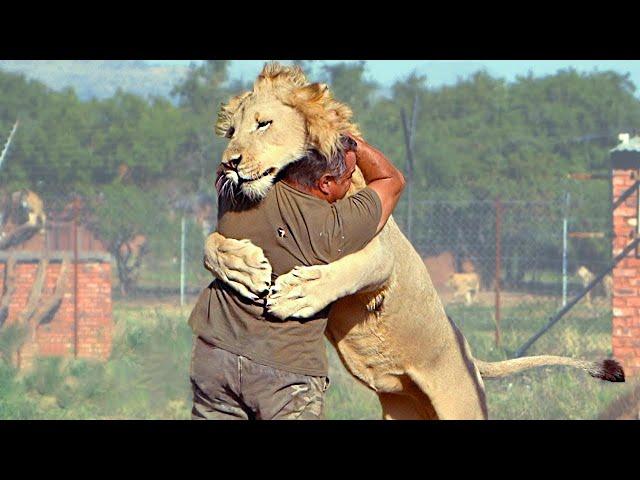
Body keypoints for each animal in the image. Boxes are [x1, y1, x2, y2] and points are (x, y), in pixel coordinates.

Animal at [204, 62, 624, 420]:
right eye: (231, 132)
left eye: (263, 124)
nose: (228, 164)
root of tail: (469, 353)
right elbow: (211, 243)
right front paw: (241, 268)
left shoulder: (377, 248)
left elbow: (348, 271)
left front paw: (298, 293)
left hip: (462, 405)